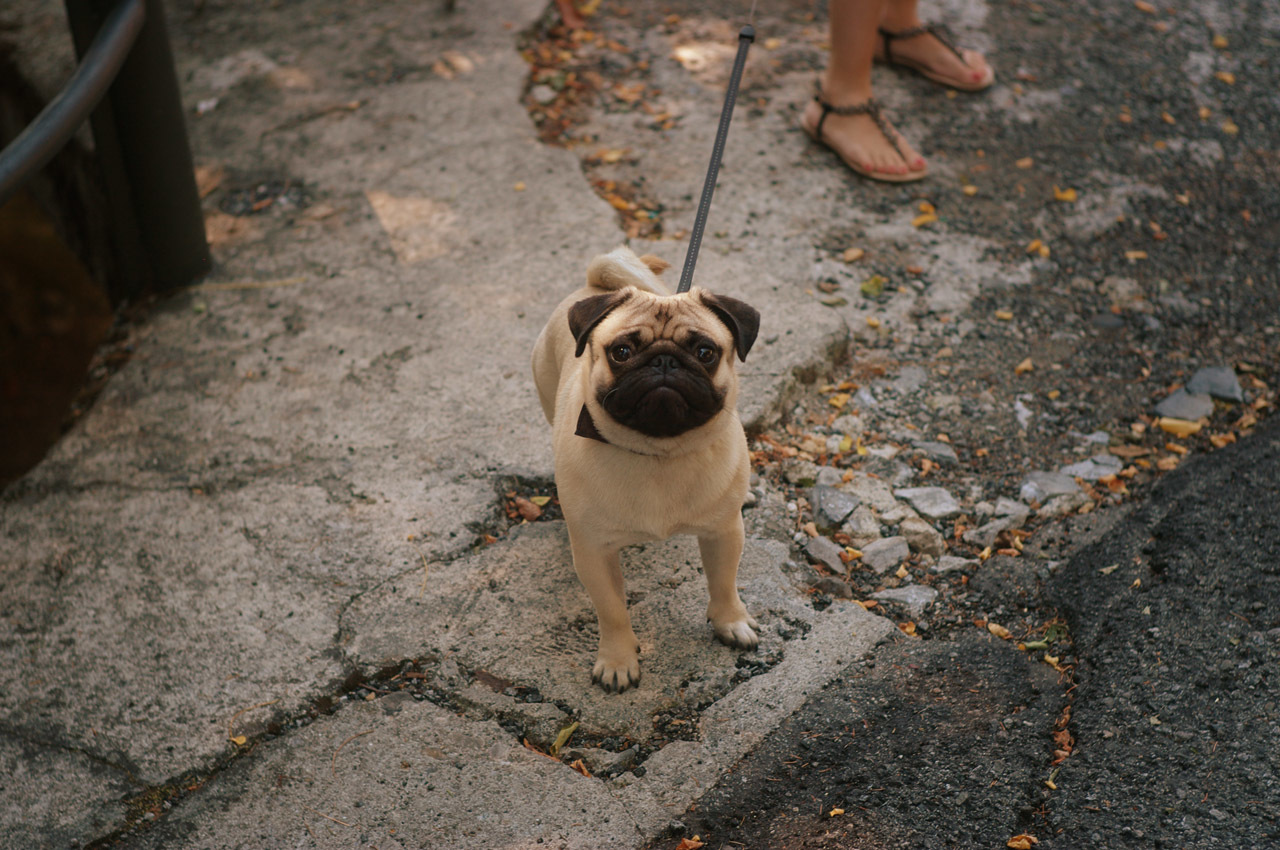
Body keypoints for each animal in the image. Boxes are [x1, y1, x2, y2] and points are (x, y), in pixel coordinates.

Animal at [529, 244, 757, 691]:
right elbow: (613, 612)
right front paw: (618, 660)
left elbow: (724, 582)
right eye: (622, 352)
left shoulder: (724, 532)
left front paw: (731, 622)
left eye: (705, 352)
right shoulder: (595, 554)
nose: (664, 361)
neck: (659, 454)